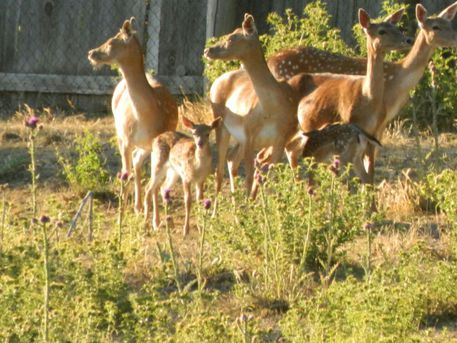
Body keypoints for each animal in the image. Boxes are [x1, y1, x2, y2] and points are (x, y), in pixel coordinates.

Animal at [87, 18, 178, 215]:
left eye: (111, 41)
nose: (91, 53)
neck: (146, 117)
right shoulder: (126, 138)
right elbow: (125, 172)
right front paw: (122, 209)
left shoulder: (156, 142)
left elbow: (154, 180)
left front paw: (149, 211)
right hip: (119, 132)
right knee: (129, 166)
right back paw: (133, 204)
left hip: (145, 146)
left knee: (137, 163)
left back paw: (138, 206)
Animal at [268, 2, 457, 183]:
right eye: (435, 27)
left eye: (449, 24)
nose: (409, 39)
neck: (398, 81)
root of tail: (269, 60)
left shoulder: (380, 124)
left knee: (290, 148)